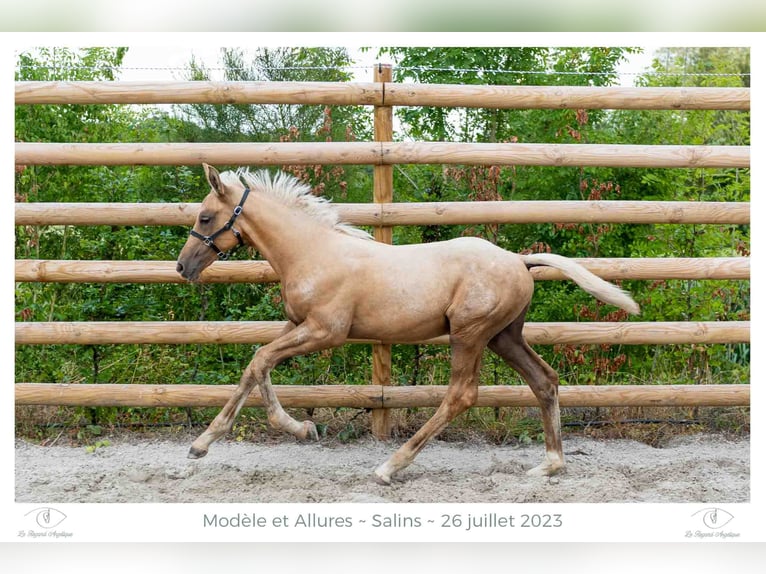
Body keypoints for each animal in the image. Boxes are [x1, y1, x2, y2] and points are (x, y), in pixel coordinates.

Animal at [177, 165, 640, 486]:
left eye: (204, 217)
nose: (183, 267)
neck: (313, 252)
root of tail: (519, 261)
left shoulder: (326, 330)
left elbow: (260, 361)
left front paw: (281, 431)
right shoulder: (296, 325)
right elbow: (257, 366)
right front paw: (217, 441)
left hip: (470, 334)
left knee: (461, 395)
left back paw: (390, 466)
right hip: (503, 337)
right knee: (544, 380)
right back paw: (550, 465)